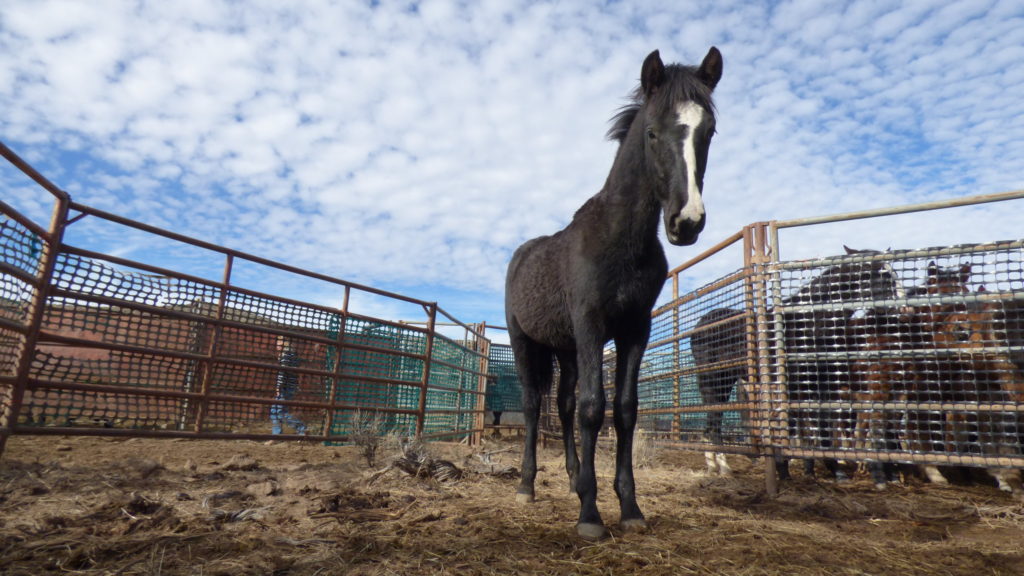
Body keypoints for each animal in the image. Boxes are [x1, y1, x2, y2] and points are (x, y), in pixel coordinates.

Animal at [505, 47, 722, 540]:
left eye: (709, 131)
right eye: (652, 132)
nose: (687, 222)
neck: (621, 240)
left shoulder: (633, 330)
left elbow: (623, 410)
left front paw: (629, 506)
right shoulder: (591, 324)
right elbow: (593, 408)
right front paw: (590, 514)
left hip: (564, 350)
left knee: (562, 406)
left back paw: (571, 478)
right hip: (524, 342)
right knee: (533, 406)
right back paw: (527, 486)